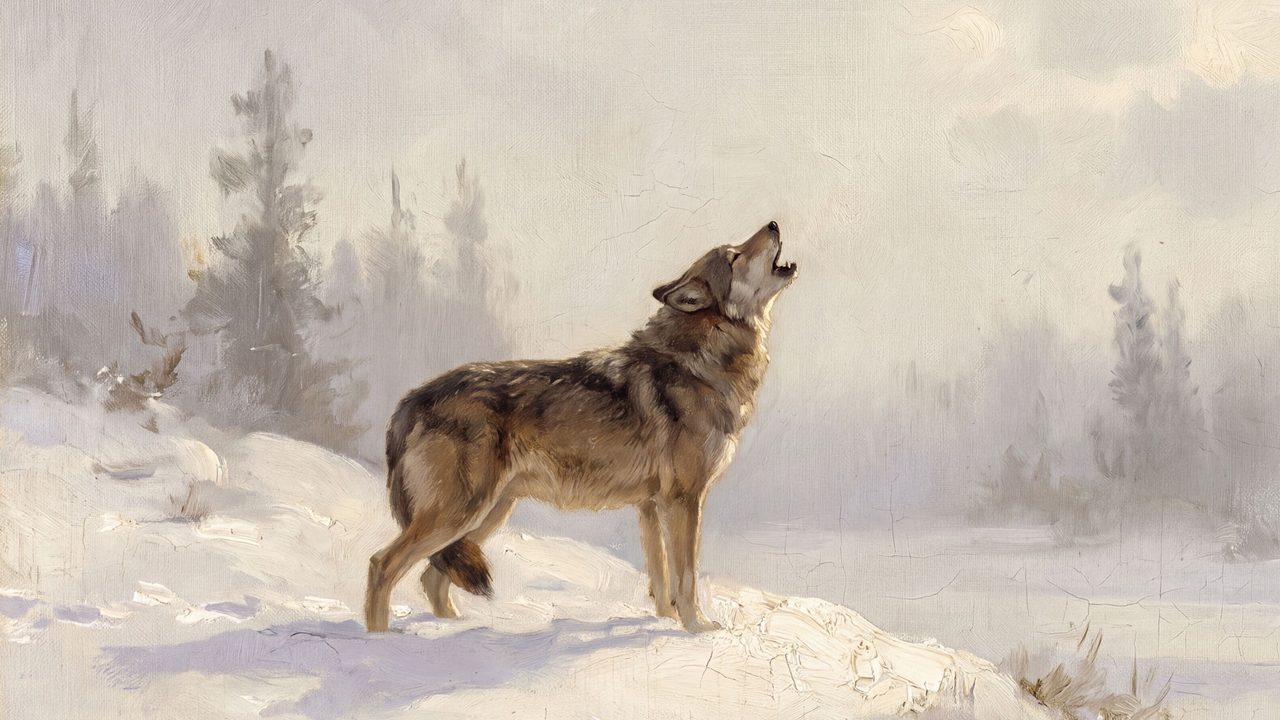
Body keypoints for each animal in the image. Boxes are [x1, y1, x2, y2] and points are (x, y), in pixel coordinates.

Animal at [365, 221, 798, 633]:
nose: (774, 224)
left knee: (433, 577)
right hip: (463, 513)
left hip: (487, 514)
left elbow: (662, 581)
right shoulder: (684, 500)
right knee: (382, 565)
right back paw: (381, 639)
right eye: (734, 257)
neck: (700, 361)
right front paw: (698, 630)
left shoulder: (650, 505)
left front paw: (662, 625)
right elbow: (686, 578)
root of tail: (411, 399)